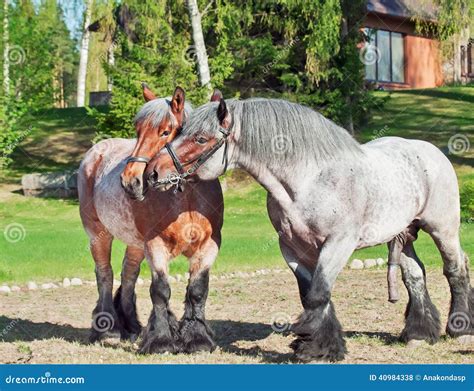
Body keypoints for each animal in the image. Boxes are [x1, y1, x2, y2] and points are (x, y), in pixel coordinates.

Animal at [78, 86, 224, 356]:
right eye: (138, 131)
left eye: (166, 131)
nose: (131, 180)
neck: (186, 199)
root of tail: (95, 152)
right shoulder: (155, 245)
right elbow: (160, 291)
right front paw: (161, 340)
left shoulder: (208, 246)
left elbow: (197, 290)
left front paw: (197, 338)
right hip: (98, 234)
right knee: (105, 274)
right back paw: (107, 329)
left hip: (135, 243)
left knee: (128, 273)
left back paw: (131, 325)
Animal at [146, 97, 472, 362]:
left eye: (201, 139)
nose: (153, 173)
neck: (308, 180)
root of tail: (430, 151)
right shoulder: (293, 248)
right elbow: (310, 294)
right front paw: (319, 343)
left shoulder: (338, 243)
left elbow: (318, 293)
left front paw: (315, 349)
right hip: (403, 234)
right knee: (415, 275)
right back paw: (418, 334)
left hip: (443, 229)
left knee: (455, 268)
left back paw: (460, 329)